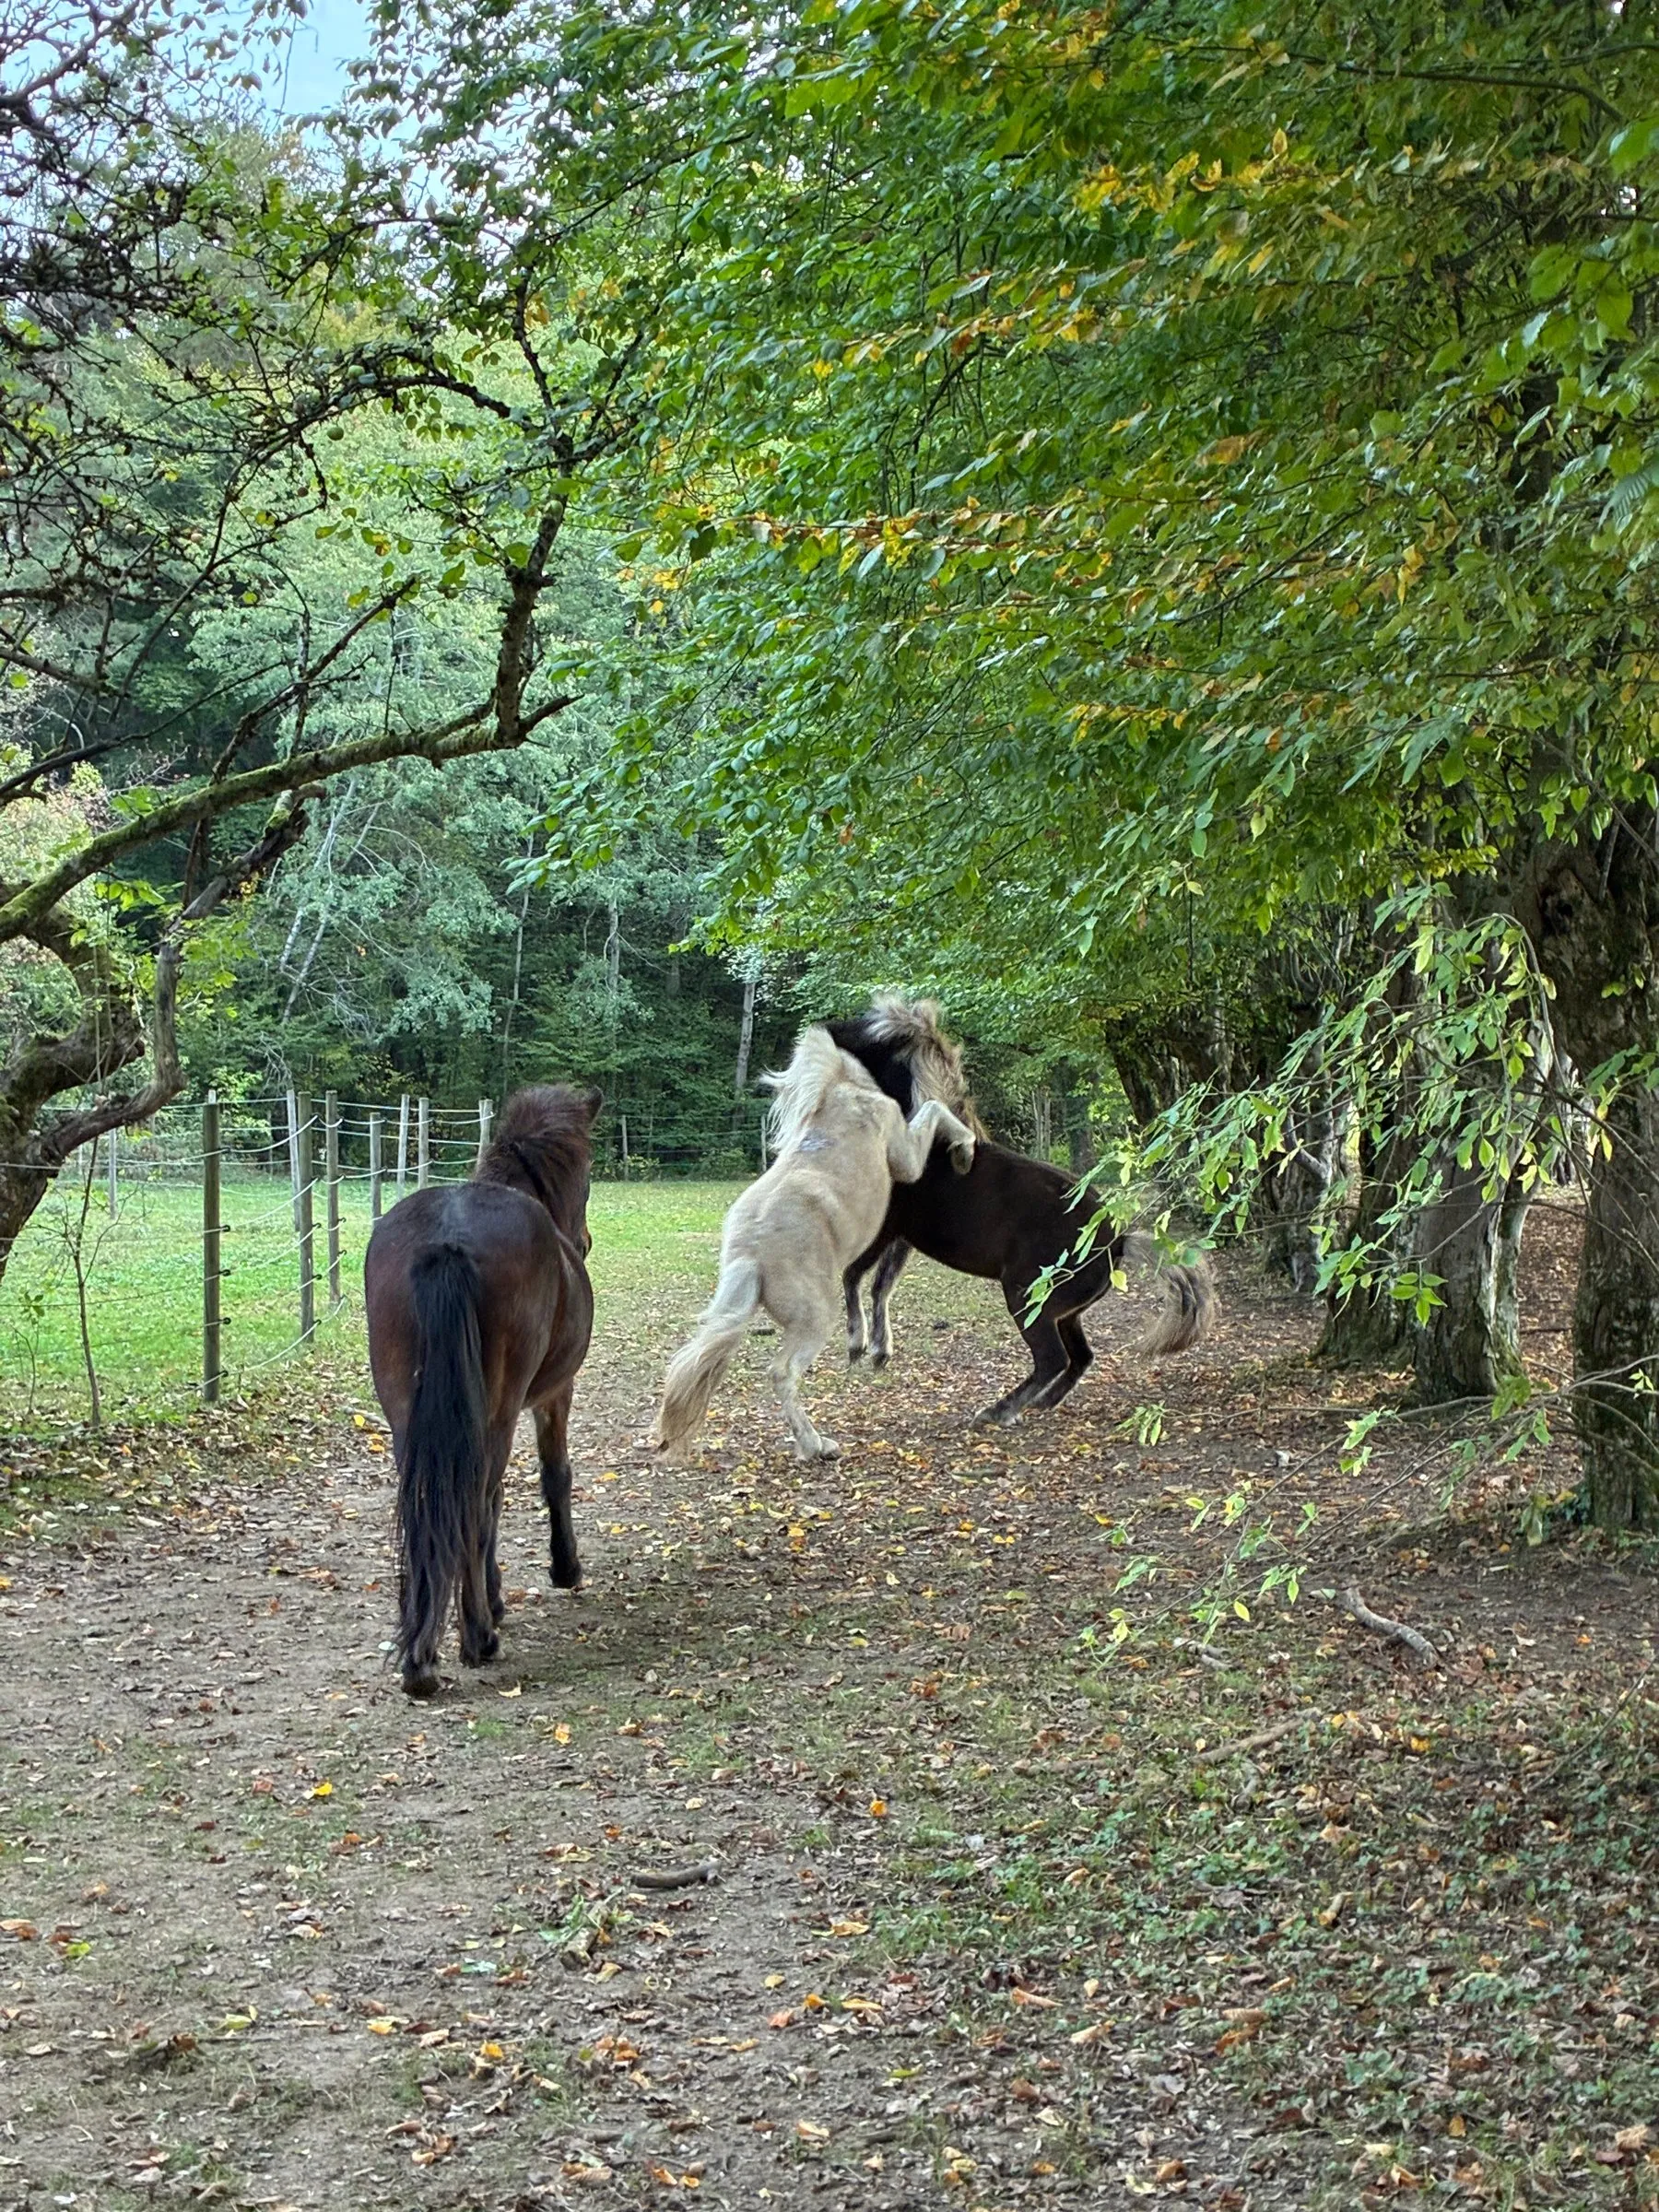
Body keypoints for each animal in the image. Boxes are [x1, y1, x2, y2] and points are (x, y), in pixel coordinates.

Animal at [364, 1083, 602, 1698]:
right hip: (496, 1414)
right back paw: (477, 1638)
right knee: (476, 1498)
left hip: (408, 1419)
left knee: (428, 1502)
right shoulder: (553, 1396)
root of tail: (446, 1241)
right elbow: (551, 1477)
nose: (585, 1240)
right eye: (588, 1180)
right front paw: (560, 1570)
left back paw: (420, 1654)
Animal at [651, 1025, 977, 1460]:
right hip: (816, 1318)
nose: (958, 1078)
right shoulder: (905, 1157)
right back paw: (817, 1444)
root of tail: (750, 1255)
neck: (843, 1092)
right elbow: (933, 1113)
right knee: (783, 1372)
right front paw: (965, 1150)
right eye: (932, 1048)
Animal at [832, 1000, 1213, 1425]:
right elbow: (881, 1283)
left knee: (1052, 1359)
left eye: (867, 1032)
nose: (823, 1029)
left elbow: (853, 1274)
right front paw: (879, 1349)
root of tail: (1119, 1241)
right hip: (1064, 1313)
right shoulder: (903, 1236)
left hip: (1028, 1299)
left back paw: (999, 1411)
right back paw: (1041, 1403)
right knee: (1079, 1357)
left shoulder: (887, 1225)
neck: (926, 1143)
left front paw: (857, 1344)